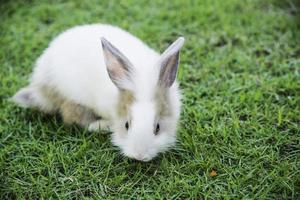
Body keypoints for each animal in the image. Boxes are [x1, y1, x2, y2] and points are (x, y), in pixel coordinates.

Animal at [12, 24, 184, 161]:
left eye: (157, 128)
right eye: (127, 125)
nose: (140, 156)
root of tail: (40, 85)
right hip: (73, 99)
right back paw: (102, 125)